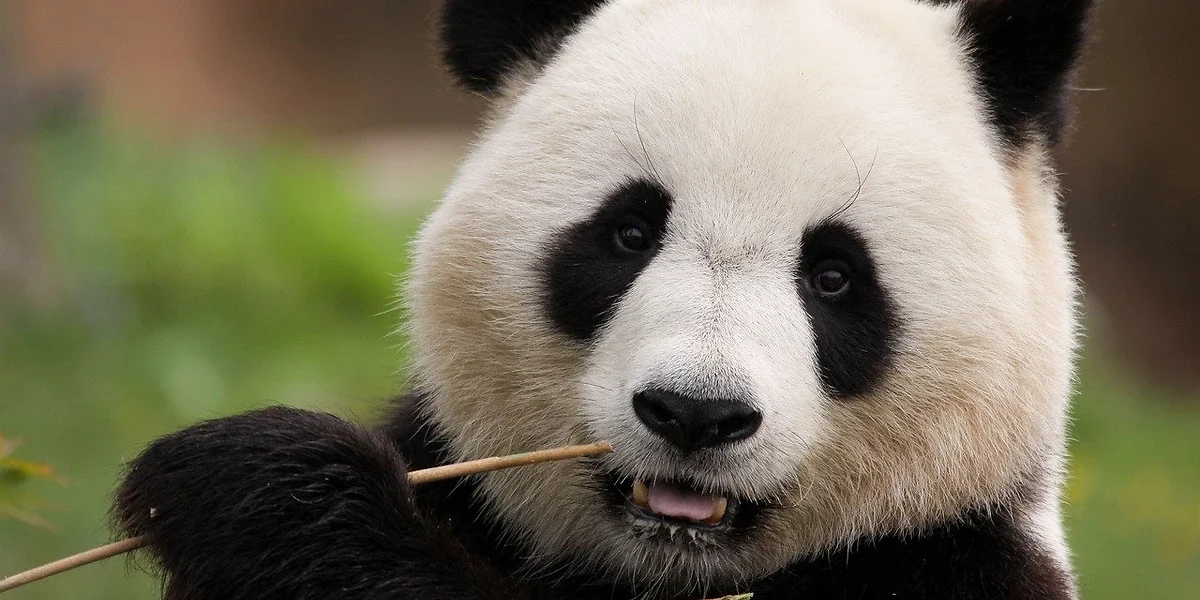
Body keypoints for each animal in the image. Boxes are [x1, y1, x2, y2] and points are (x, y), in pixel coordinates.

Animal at [114, 0, 1093, 598]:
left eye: (834, 276)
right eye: (629, 232)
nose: (696, 414)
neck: (664, 573)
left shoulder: (955, 563)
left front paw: (262, 482)